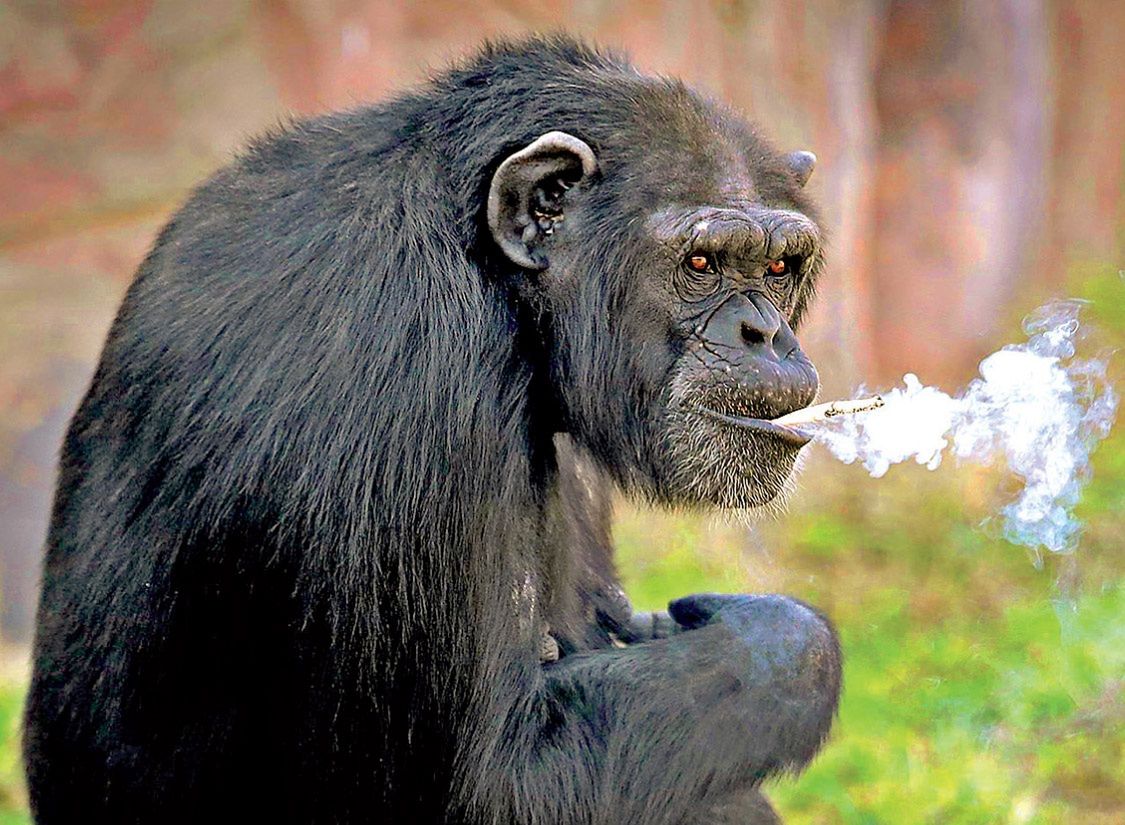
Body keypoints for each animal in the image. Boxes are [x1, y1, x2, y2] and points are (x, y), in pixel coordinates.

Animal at [24, 38, 837, 823]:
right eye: (701, 261)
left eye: (778, 268)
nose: (764, 333)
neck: (496, 277)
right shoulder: (416, 379)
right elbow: (495, 782)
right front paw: (780, 639)